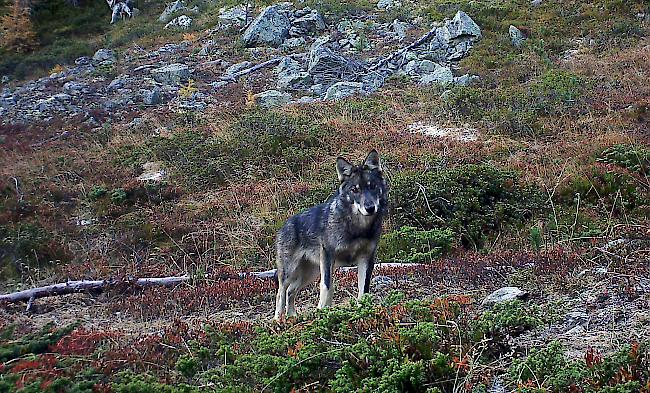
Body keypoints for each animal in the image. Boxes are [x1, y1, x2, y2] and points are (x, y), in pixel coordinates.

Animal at [272, 149, 384, 318]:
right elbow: (327, 286)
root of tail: (285, 224)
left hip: (309, 274)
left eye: (372, 187)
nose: (370, 208)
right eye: (355, 190)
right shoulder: (328, 257)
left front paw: (363, 310)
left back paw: (292, 317)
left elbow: (363, 290)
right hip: (290, 272)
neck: (357, 227)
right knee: (281, 293)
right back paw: (278, 319)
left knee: (291, 291)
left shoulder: (366, 258)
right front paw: (323, 311)